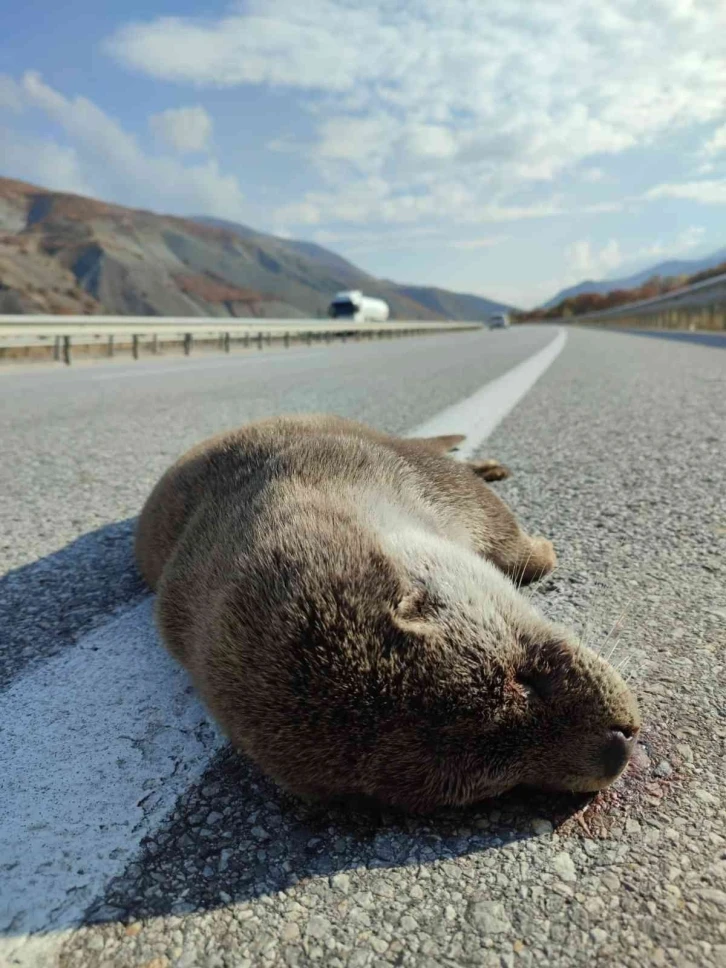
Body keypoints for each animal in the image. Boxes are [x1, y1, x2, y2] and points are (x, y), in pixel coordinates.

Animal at [136, 412, 644, 812]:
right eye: (504, 781)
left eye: (525, 679)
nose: (618, 748)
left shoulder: (409, 471)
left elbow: (519, 544)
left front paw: (543, 549)